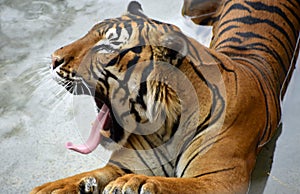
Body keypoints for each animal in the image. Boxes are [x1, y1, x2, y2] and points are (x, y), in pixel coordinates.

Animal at [29, 0, 298, 193]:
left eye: (107, 47)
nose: (53, 59)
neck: (165, 125)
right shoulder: (126, 164)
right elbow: (88, 175)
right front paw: (52, 188)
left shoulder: (217, 179)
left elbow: (178, 186)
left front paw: (135, 183)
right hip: (192, 9)